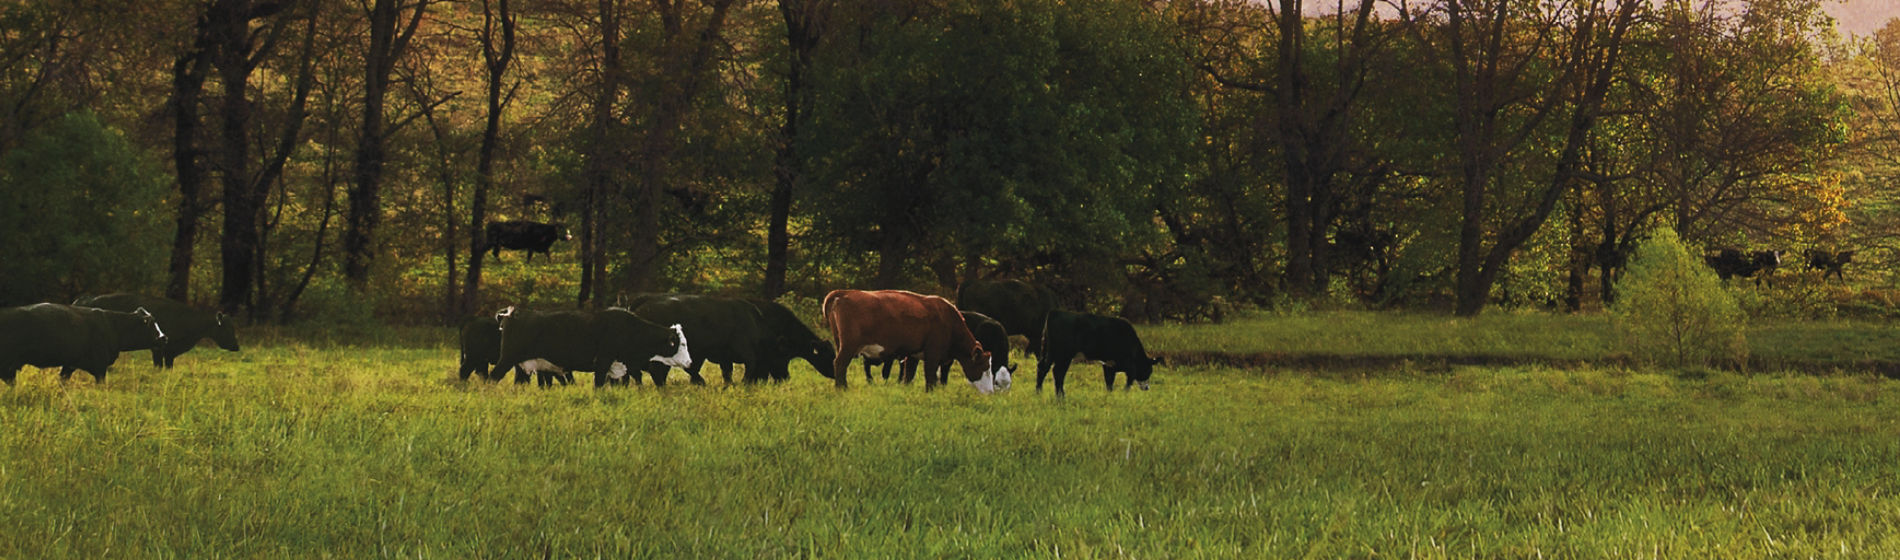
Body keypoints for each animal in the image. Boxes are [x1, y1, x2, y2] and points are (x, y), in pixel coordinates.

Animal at [487, 307, 691, 387]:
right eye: (681, 343)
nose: (690, 362)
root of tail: (512, 313)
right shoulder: (603, 361)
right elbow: (598, 385)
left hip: (521, 366)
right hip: (507, 359)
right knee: (492, 378)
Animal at [822, 290, 996, 392]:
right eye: (985, 367)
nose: (990, 392)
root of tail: (844, 293)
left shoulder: (913, 354)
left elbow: (908, 375)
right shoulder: (933, 353)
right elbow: (930, 375)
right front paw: (931, 392)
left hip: (840, 343)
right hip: (849, 346)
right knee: (840, 364)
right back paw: (842, 388)